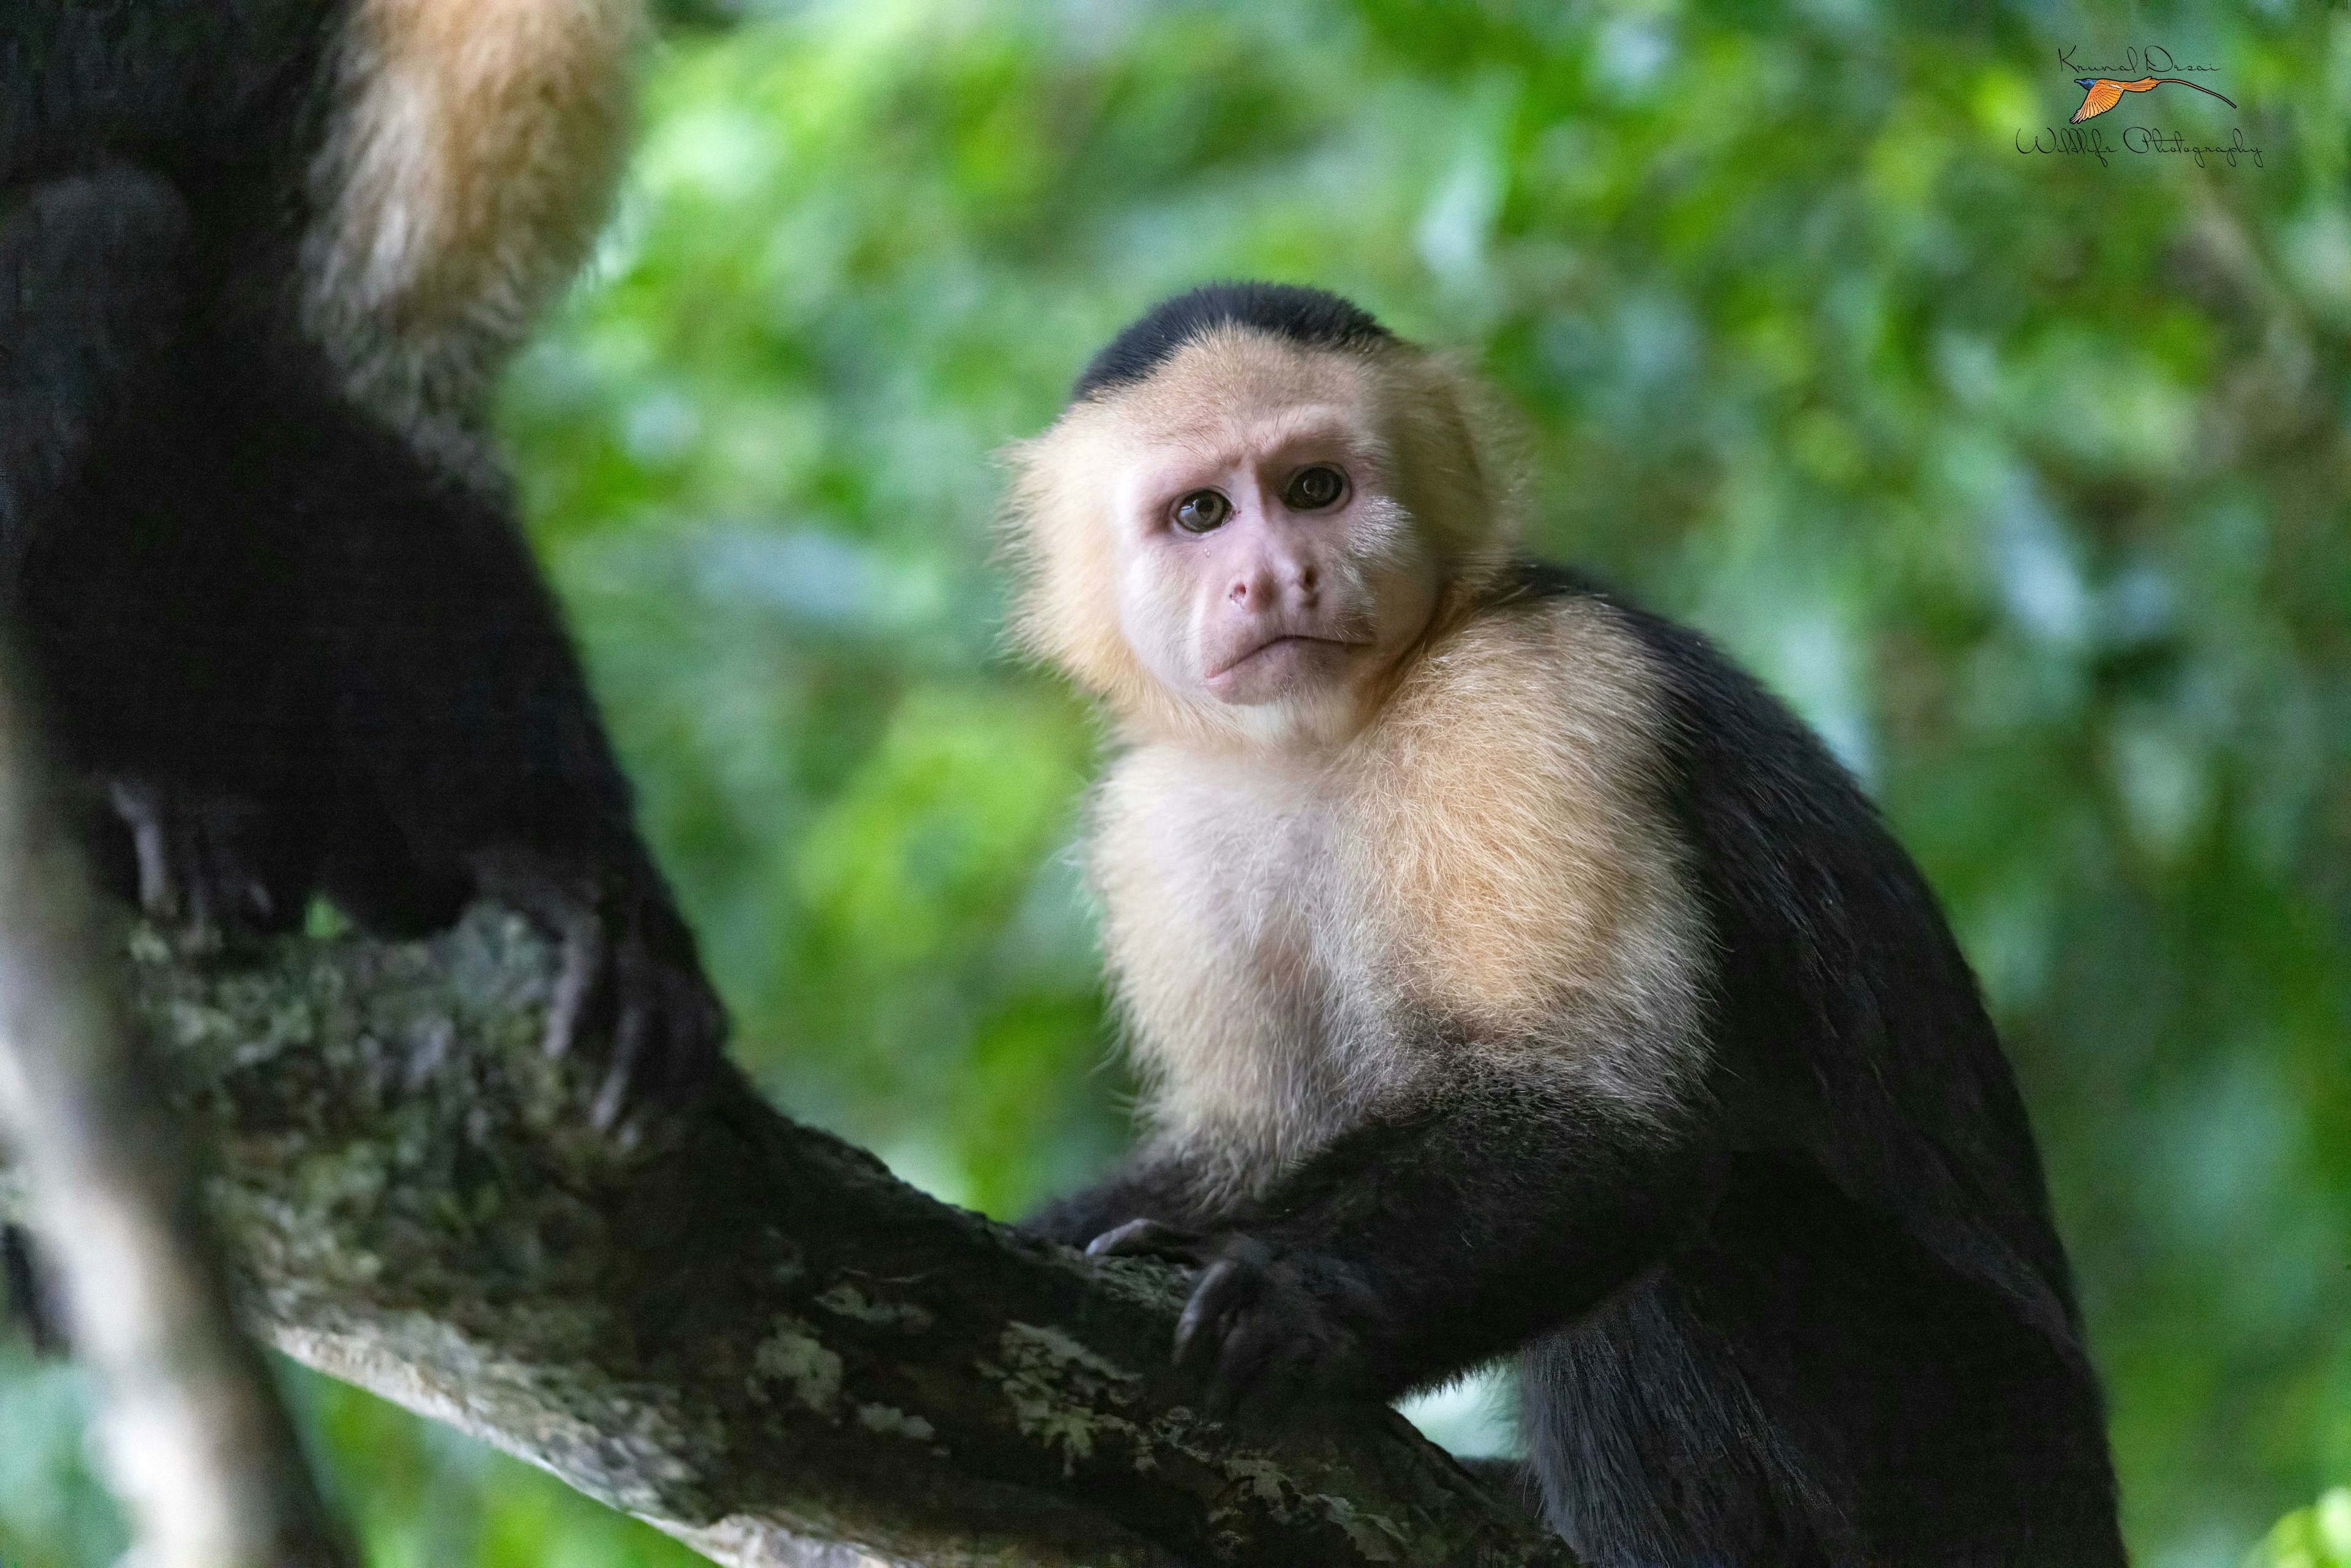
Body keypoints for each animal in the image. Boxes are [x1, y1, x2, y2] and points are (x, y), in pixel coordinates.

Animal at [1011, 285, 2134, 1568]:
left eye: (1314, 489)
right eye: (1202, 513)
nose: (1277, 576)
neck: (1332, 736)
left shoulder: (1528, 693)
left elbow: (1604, 1113)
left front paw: (1293, 1296)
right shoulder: (1158, 826)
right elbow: (1248, 1142)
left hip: (1981, 1454)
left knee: (1703, 1242)